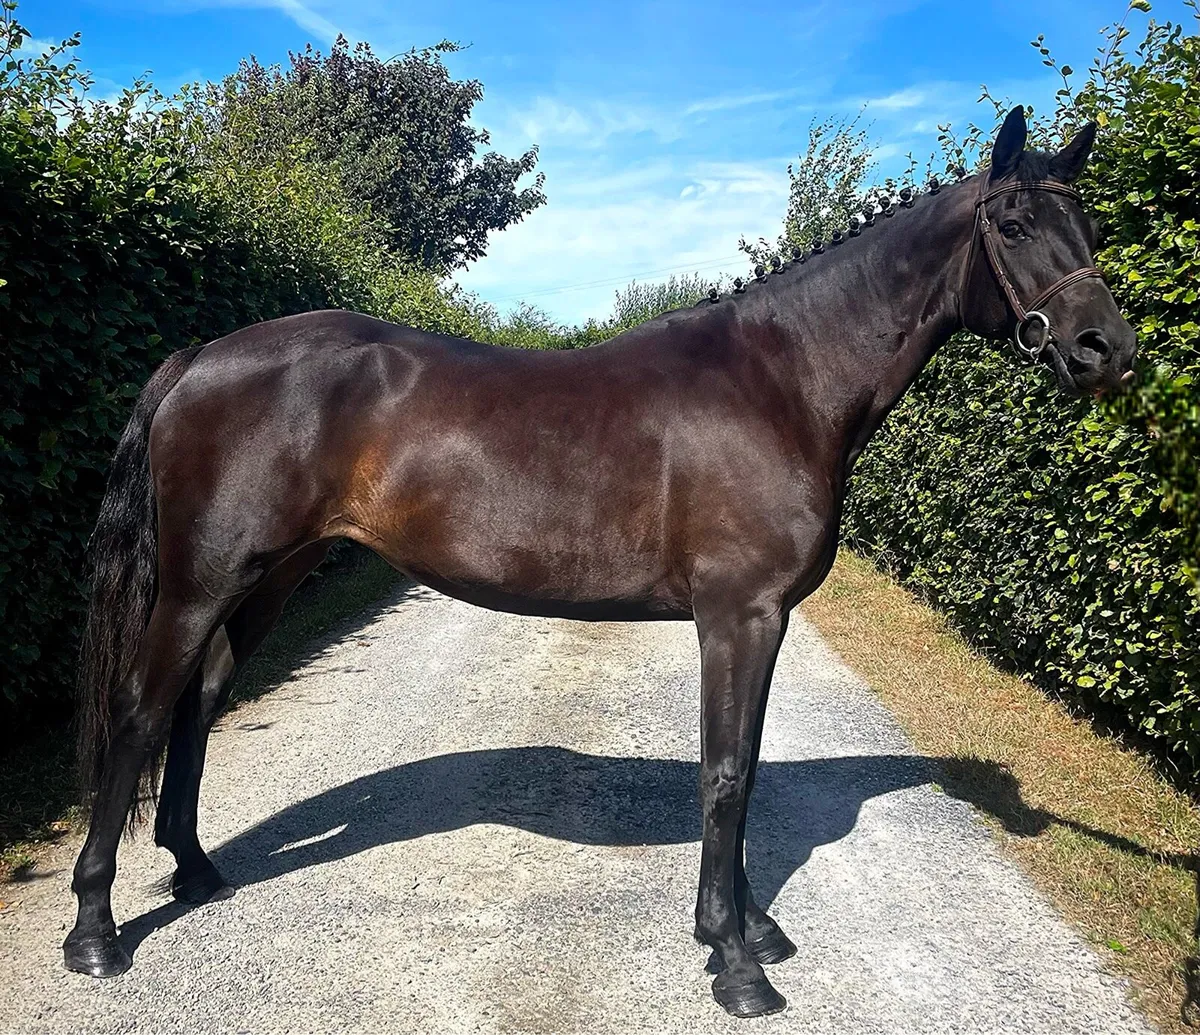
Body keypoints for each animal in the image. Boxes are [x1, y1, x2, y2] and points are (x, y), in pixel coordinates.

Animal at [64, 106, 1136, 1018]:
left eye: (1087, 223)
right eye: (1012, 221)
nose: (1106, 348)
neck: (783, 380)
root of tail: (202, 357)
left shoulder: (760, 619)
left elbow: (742, 765)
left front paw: (748, 927)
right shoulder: (739, 614)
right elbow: (725, 775)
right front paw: (736, 965)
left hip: (270, 577)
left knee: (197, 703)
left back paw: (196, 869)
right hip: (200, 581)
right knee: (141, 711)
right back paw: (96, 931)